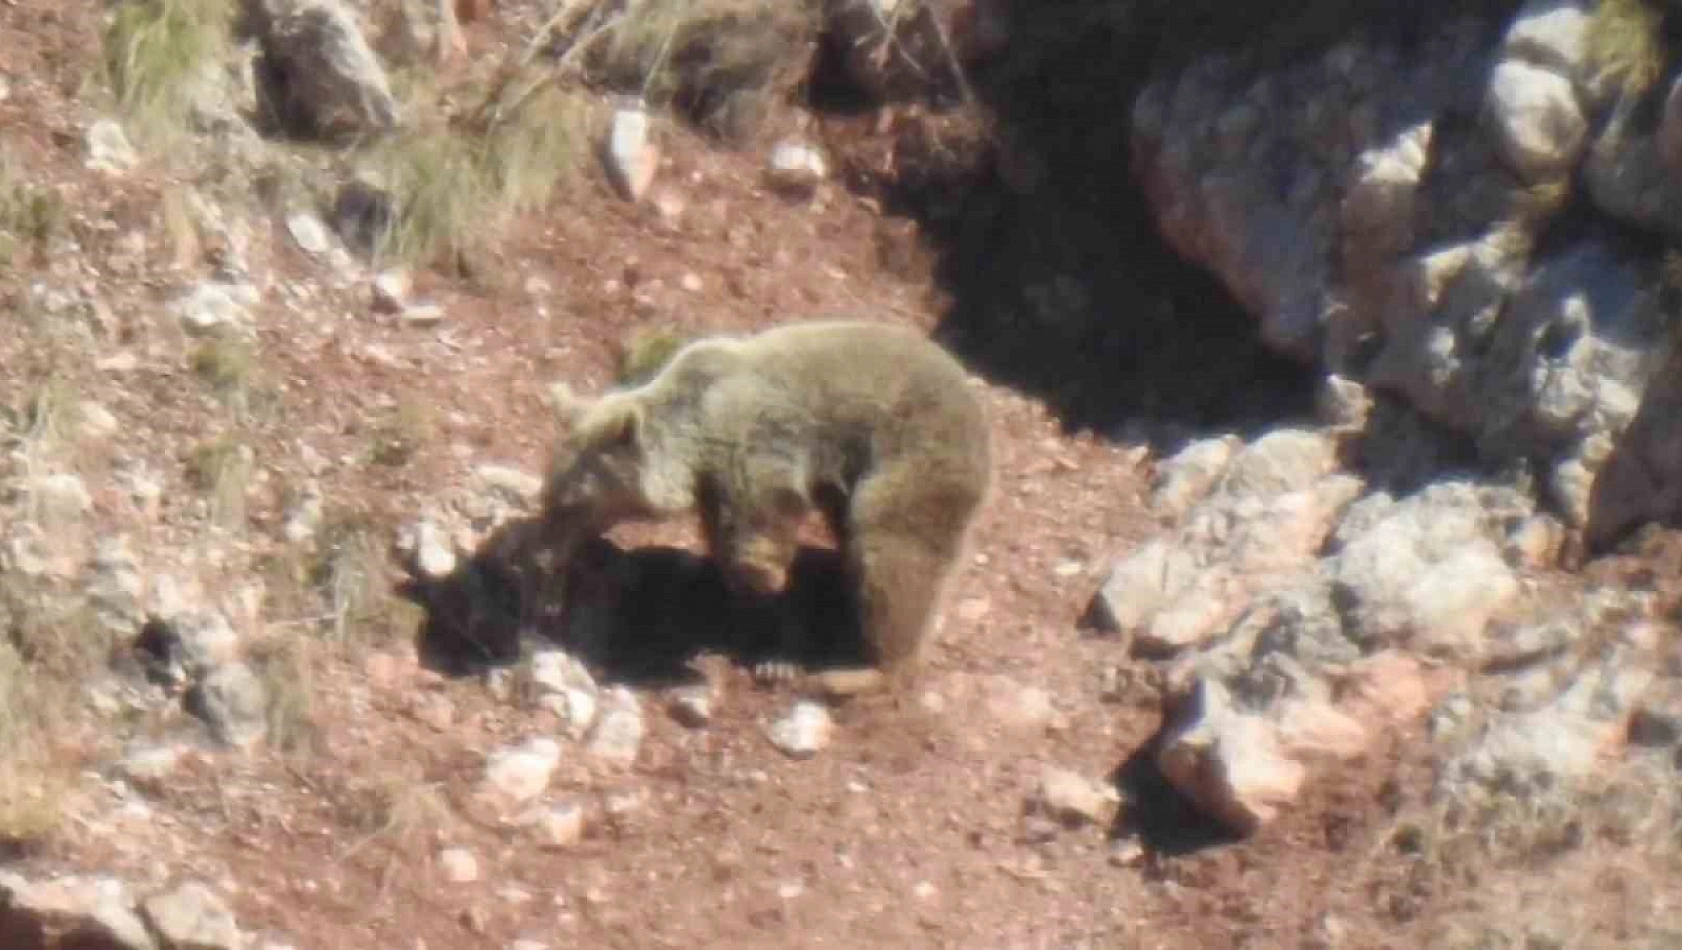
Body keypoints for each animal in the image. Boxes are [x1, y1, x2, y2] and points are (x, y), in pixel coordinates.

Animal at [531, 314, 989, 692]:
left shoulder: (756, 442)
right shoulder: (716, 486)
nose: (542, 556)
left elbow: (763, 533)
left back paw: (858, 671)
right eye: (548, 498)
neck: (696, 435)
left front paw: (771, 635)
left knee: (892, 558)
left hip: (913, 463)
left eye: (572, 504)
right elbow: (727, 541)